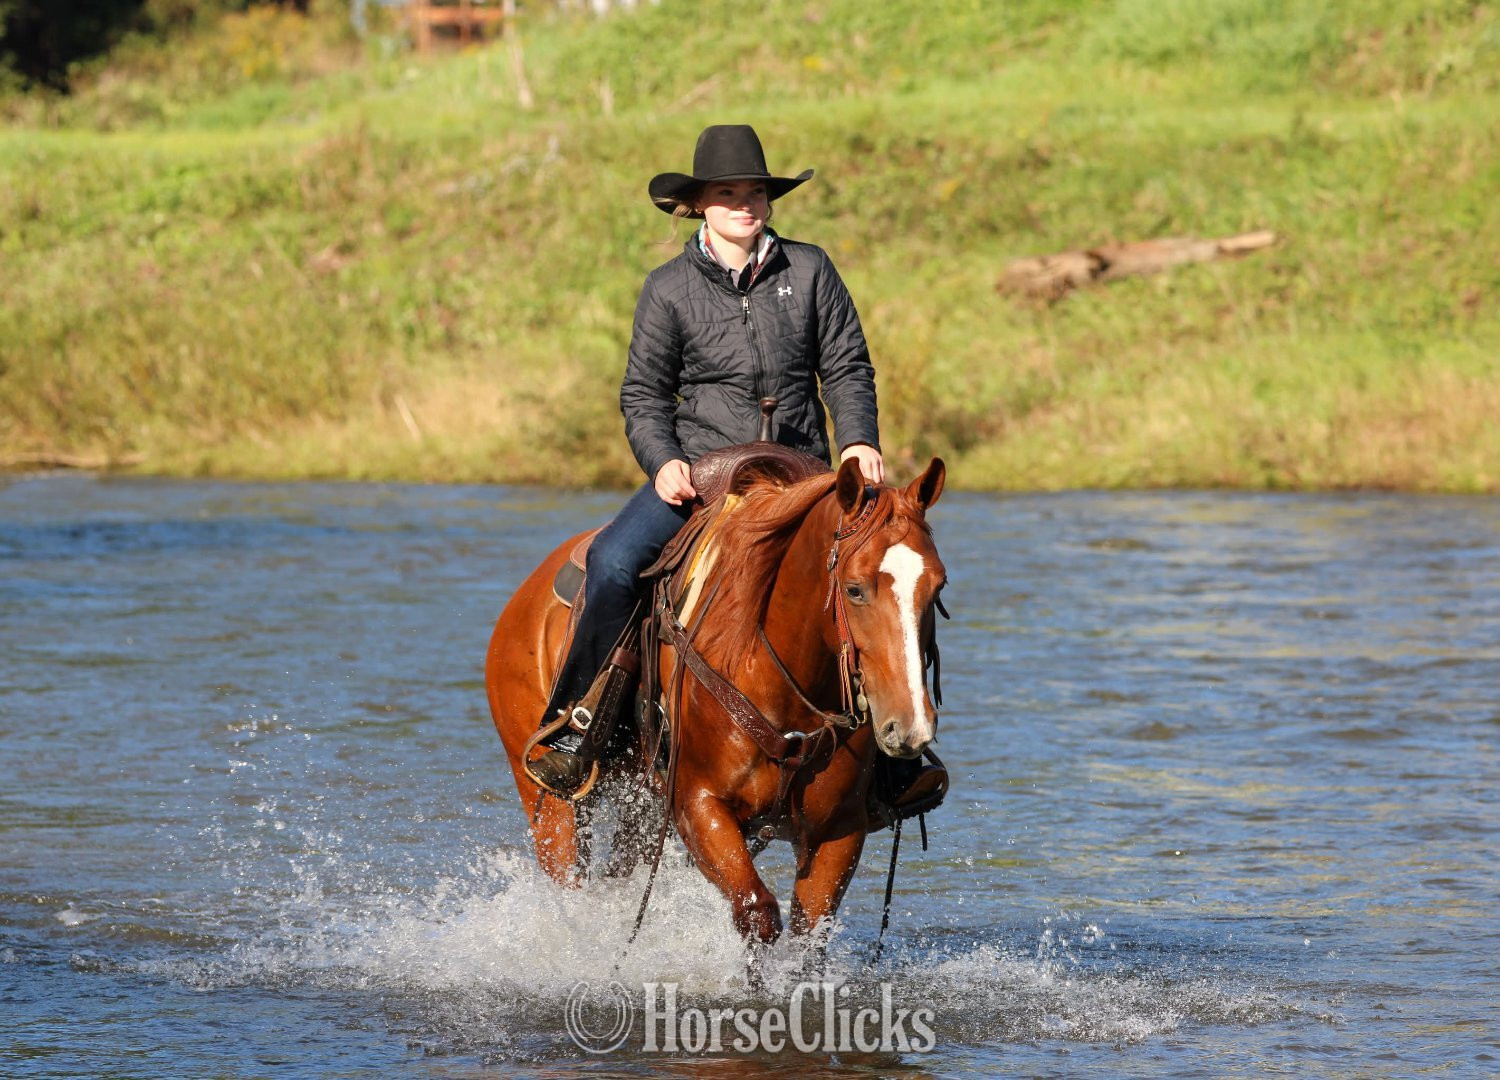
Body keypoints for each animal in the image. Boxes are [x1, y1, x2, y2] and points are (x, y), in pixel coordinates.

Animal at [484, 454, 947, 945]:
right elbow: (757, 913)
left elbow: (808, 932)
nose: (910, 727)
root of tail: (523, 599)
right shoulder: (699, 807)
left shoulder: (839, 829)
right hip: (555, 808)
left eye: (938, 588)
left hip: (641, 807)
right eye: (855, 589)